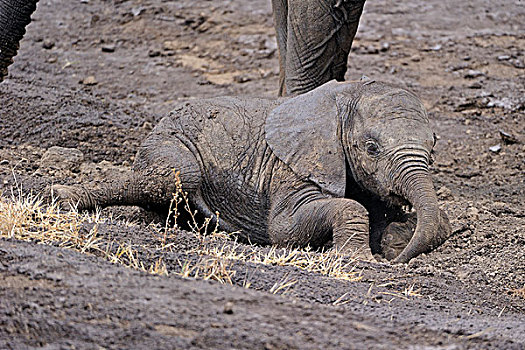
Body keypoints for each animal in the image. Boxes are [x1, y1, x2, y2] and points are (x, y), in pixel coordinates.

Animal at [53, 80, 450, 262]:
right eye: (371, 147)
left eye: (432, 147)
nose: (398, 261)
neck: (343, 97)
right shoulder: (292, 167)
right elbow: (285, 229)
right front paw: (359, 259)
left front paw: (394, 237)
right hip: (168, 145)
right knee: (176, 176)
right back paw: (62, 197)